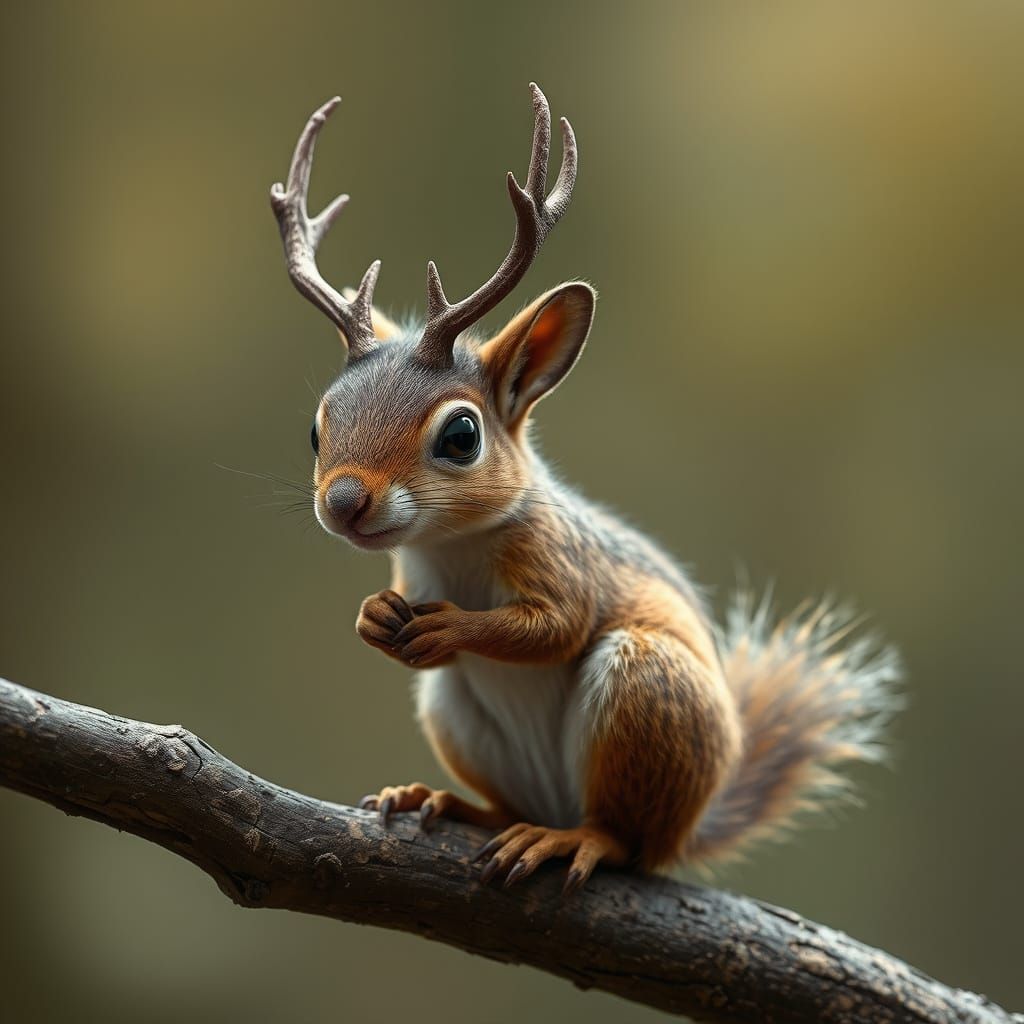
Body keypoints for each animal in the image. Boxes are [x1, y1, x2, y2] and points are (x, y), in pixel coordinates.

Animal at [269, 84, 900, 893]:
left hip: (647, 689)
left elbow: (556, 627)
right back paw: (447, 801)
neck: (452, 548)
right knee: (503, 799)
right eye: (318, 430)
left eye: (461, 436)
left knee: (626, 837)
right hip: (453, 714)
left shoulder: (562, 561)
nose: (344, 504)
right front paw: (375, 618)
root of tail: (692, 825)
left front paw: (452, 628)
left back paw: (571, 838)